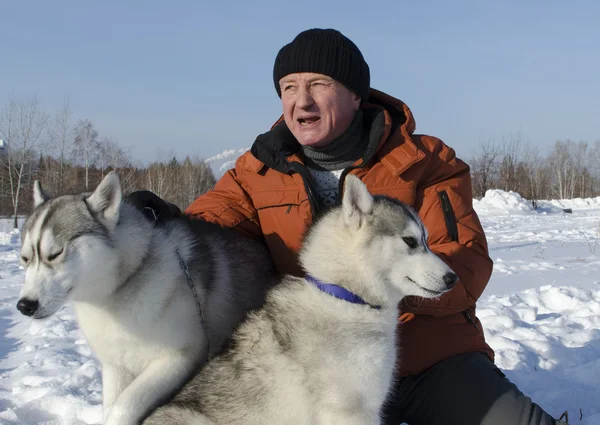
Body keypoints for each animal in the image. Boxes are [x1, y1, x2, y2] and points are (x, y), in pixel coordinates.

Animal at [16, 172, 278, 424]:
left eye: (55, 253)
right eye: (25, 257)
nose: (24, 305)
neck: (119, 289)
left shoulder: (178, 359)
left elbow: (123, 407)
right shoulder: (115, 366)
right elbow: (112, 404)